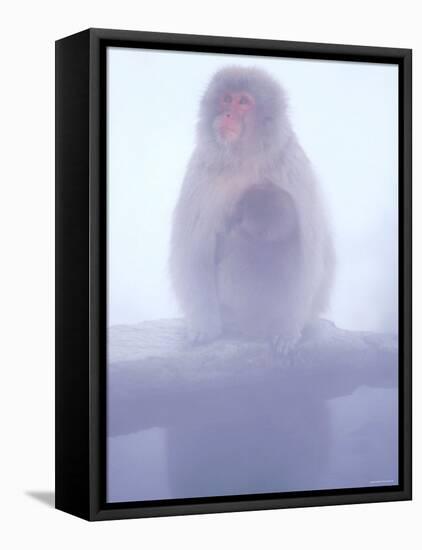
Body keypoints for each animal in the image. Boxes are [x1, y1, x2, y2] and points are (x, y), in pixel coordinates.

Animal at [170, 68, 334, 354]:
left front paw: (287, 332)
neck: (244, 158)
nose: (227, 114)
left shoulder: (293, 168)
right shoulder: (202, 171)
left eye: (243, 102)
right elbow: (193, 251)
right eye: (226, 99)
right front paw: (204, 327)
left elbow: (311, 254)